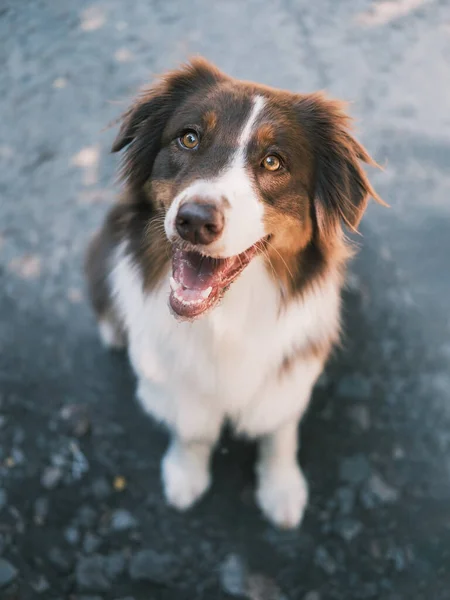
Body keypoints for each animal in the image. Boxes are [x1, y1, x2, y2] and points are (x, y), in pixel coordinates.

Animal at [85, 58, 384, 528]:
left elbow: (280, 431)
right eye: (188, 138)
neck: (224, 318)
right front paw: (185, 474)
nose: (194, 221)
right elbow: (189, 427)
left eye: (273, 162)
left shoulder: (289, 371)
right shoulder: (170, 375)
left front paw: (281, 489)